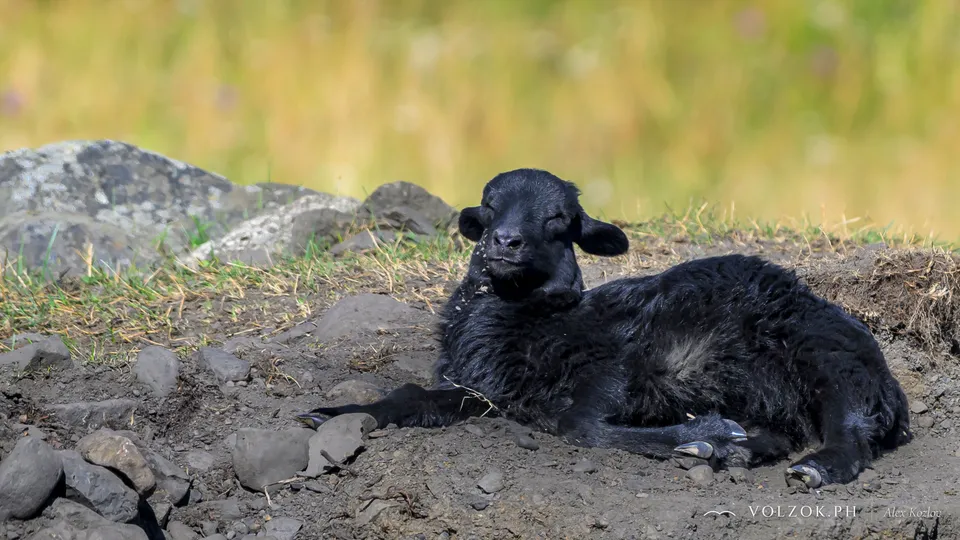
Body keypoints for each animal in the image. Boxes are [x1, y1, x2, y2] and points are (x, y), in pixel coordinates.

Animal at [297, 168, 913, 488]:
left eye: (558, 219)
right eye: (489, 205)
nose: (504, 242)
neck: (527, 317)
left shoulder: (614, 367)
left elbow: (580, 428)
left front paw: (703, 434)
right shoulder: (480, 390)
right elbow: (410, 395)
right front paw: (331, 414)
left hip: (823, 352)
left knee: (850, 430)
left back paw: (805, 465)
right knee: (785, 431)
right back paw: (734, 448)